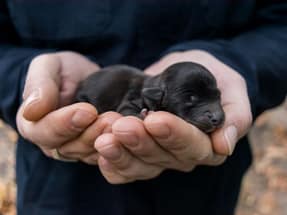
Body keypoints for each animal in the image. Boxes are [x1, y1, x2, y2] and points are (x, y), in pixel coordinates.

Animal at [76, 62, 225, 133]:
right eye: (192, 98)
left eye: (218, 96)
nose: (217, 118)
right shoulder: (132, 97)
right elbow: (126, 108)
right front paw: (142, 115)